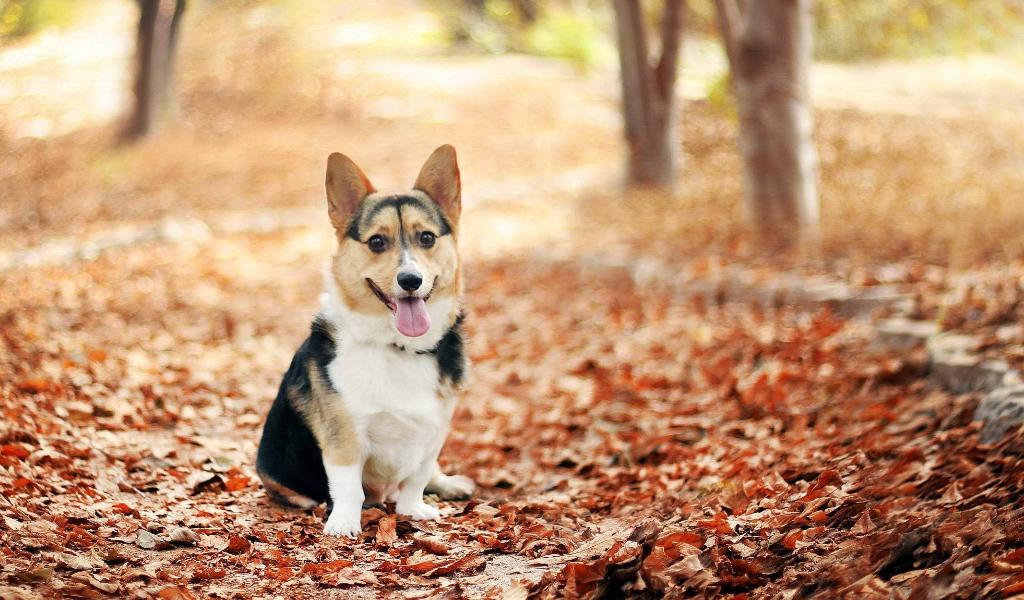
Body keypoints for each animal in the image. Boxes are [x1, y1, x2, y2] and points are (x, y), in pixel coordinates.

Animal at [260, 146, 475, 536]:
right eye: (377, 241)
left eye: (427, 238)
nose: (410, 280)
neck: (398, 346)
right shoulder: (344, 435)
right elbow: (349, 486)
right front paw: (344, 522)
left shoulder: (434, 431)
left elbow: (417, 478)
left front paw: (412, 510)